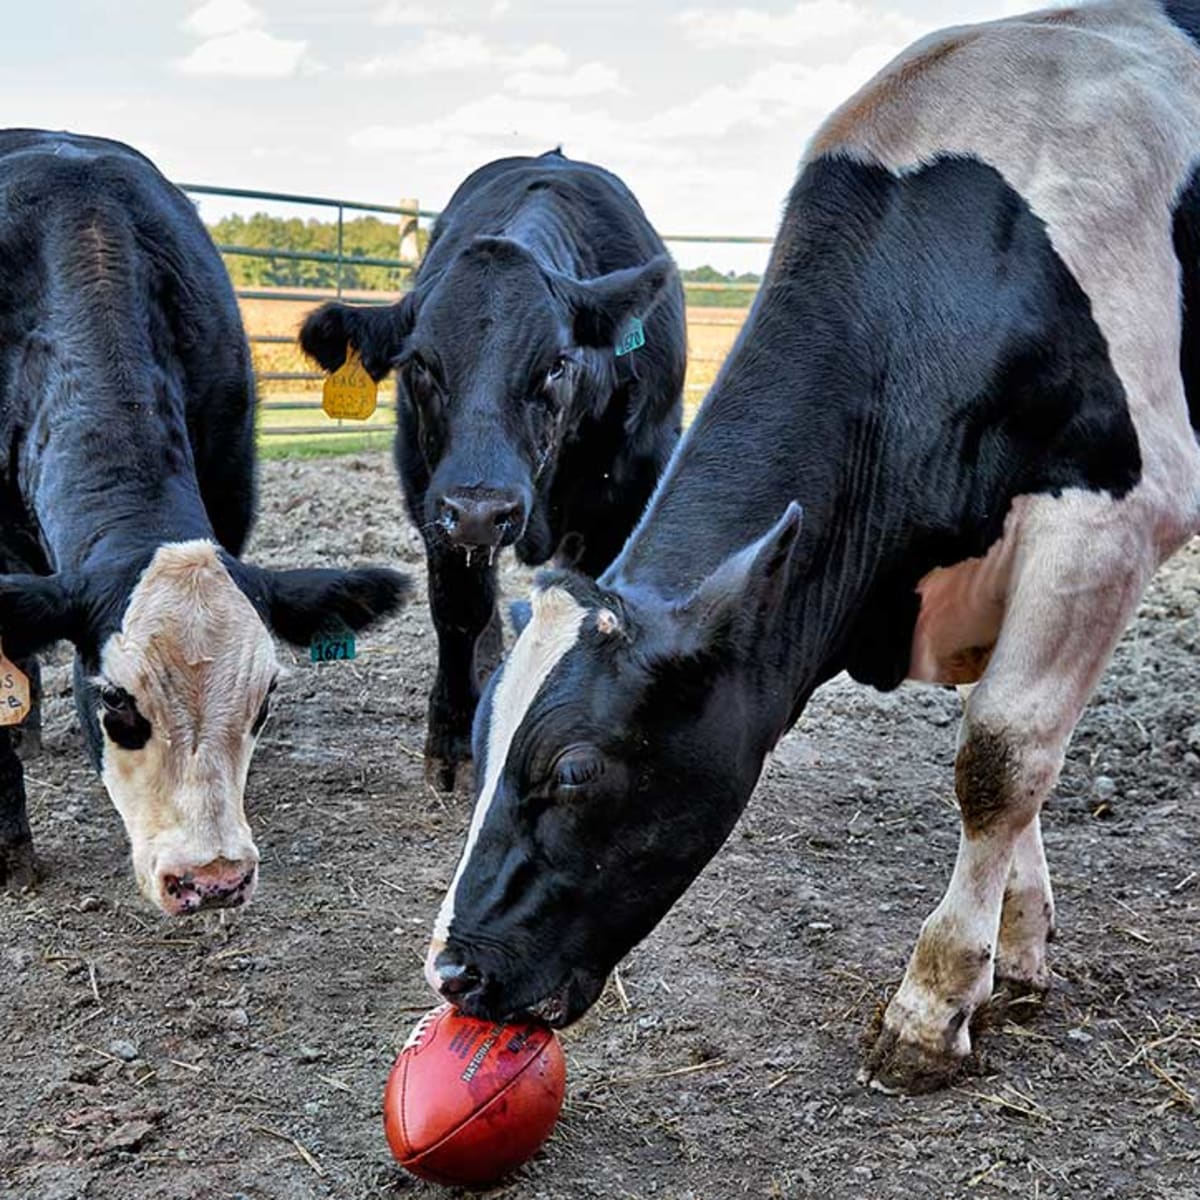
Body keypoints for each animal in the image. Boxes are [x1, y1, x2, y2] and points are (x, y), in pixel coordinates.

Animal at [300, 150, 686, 792]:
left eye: (557, 364)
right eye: (420, 364)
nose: (482, 510)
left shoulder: (625, 496)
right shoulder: (433, 498)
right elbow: (460, 610)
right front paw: (454, 738)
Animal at [420, 4, 1200, 1099]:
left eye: (576, 770)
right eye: (483, 743)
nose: (454, 971)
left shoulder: (1108, 519)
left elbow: (1002, 759)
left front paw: (933, 1004)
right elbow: (1017, 764)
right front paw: (1019, 951)